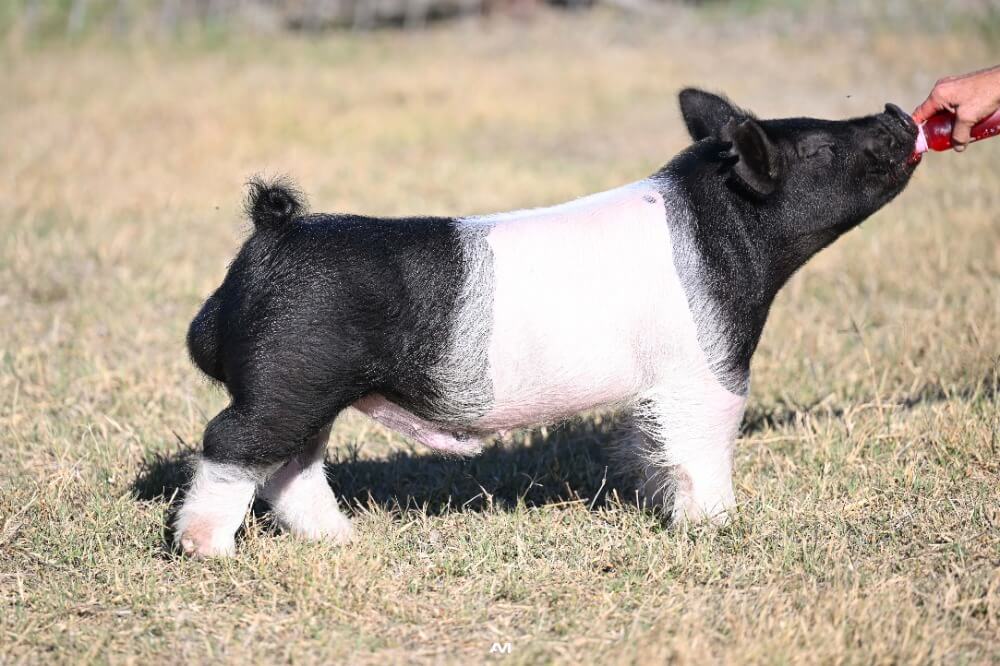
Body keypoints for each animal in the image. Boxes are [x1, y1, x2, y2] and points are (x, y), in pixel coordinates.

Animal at [176, 89, 919, 557]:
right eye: (821, 148)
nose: (897, 115)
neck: (728, 230)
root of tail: (273, 234)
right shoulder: (708, 373)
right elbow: (707, 449)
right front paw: (719, 527)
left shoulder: (656, 389)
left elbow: (655, 449)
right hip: (288, 380)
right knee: (231, 443)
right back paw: (208, 551)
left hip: (311, 392)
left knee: (291, 467)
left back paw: (342, 540)